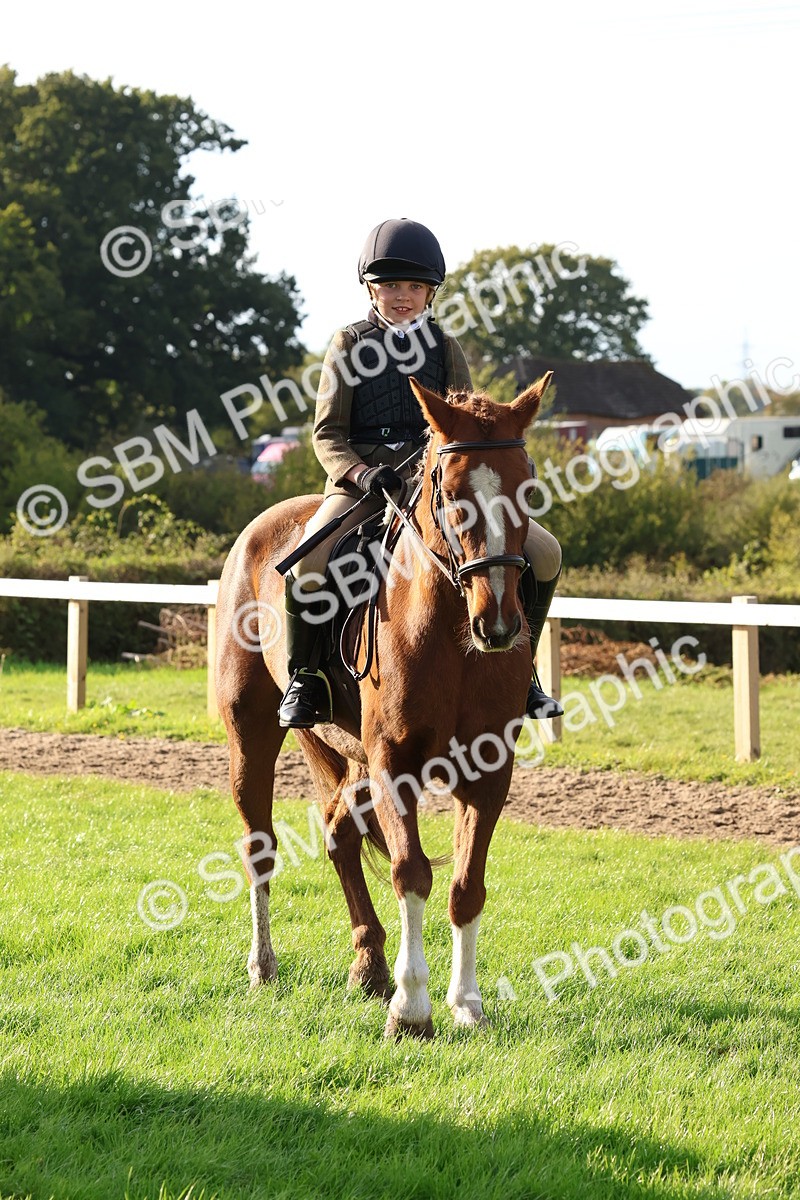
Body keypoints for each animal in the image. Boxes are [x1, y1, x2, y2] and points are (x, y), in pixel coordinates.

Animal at [214, 372, 551, 1038]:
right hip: (253, 732)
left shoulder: (488, 771)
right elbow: (410, 871)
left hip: (344, 753)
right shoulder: (394, 764)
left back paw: (367, 966)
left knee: (340, 834)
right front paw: (412, 1008)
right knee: (259, 843)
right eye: (451, 493)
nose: (499, 625)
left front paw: (466, 1005)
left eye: (527, 488)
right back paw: (264, 965)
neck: (450, 635)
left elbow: (466, 885)